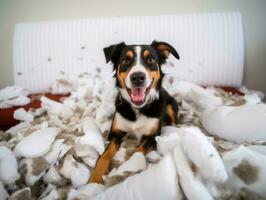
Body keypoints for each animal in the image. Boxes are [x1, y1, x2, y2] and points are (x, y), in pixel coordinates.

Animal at [89, 40, 179, 183]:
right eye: (126, 60)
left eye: (151, 60)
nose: (137, 77)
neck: (137, 109)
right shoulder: (115, 134)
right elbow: (104, 155)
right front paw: (94, 179)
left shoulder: (151, 138)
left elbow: (137, 152)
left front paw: (127, 167)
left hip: (170, 104)